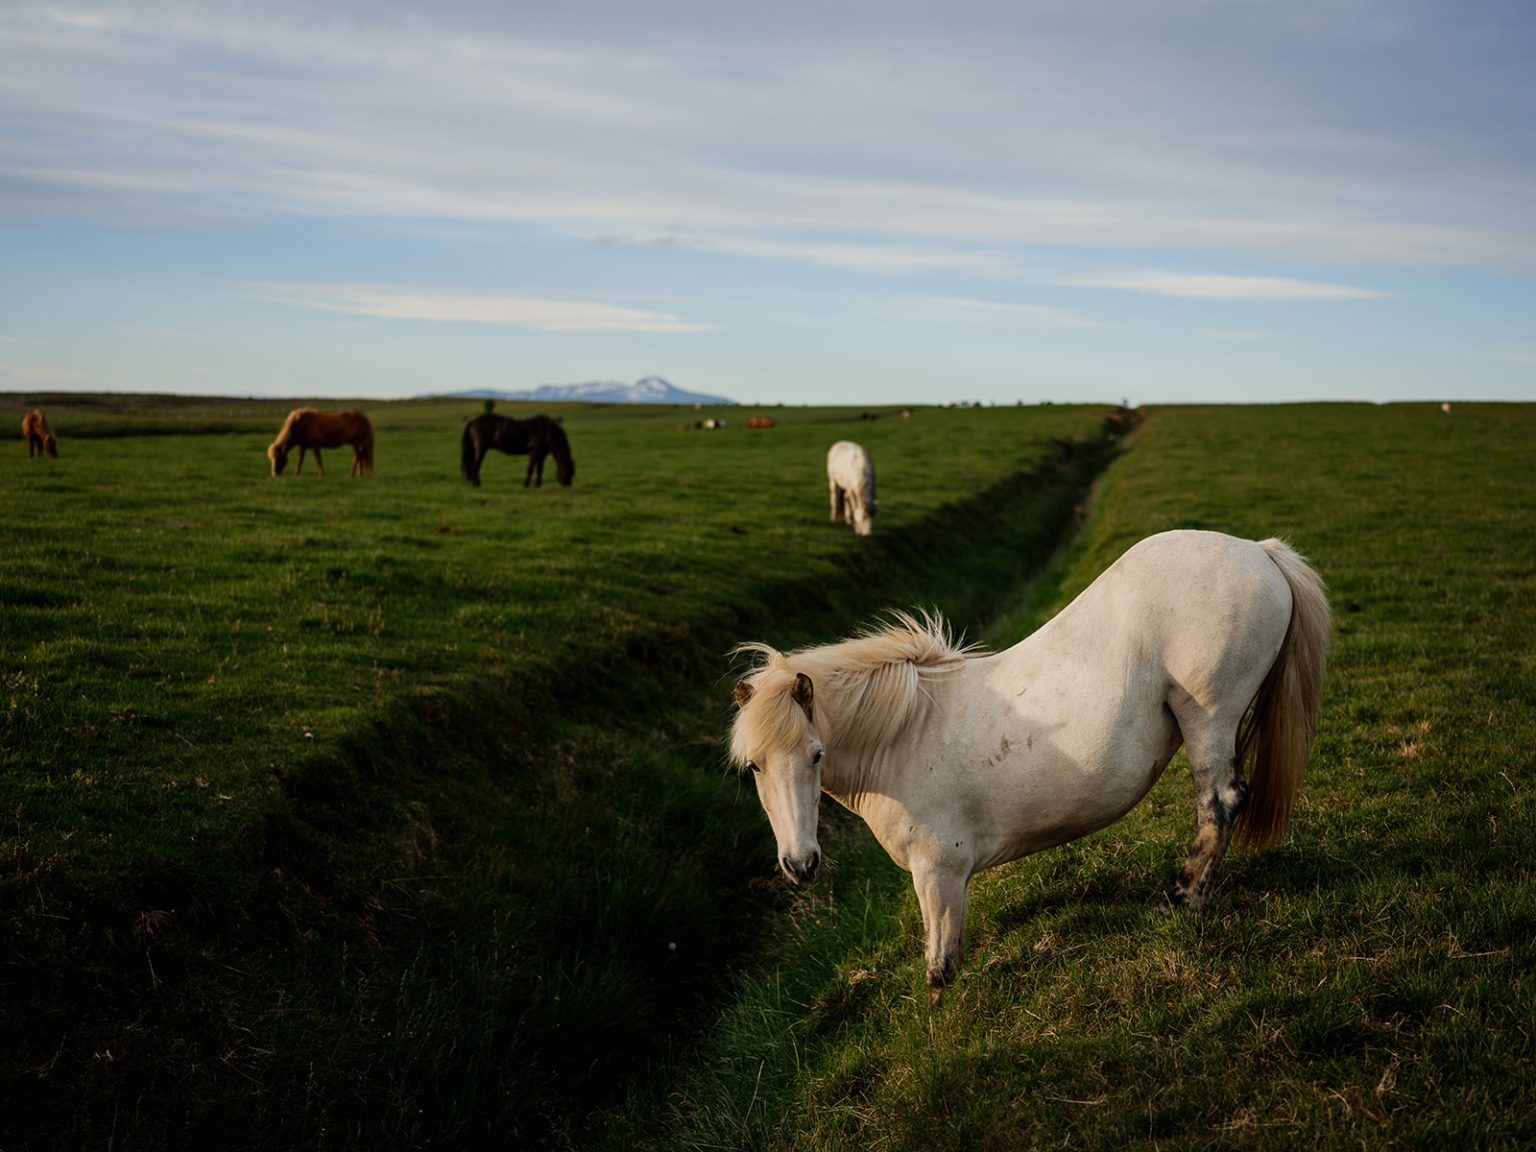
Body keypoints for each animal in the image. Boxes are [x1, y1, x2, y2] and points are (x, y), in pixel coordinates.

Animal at [729, 530, 1330, 998]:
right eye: (754, 767)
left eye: (817, 755)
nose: (800, 864)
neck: (905, 735)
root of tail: (1258, 550)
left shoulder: (939, 872)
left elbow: (940, 961)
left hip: (1210, 715)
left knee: (1220, 802)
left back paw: (1185, 899)